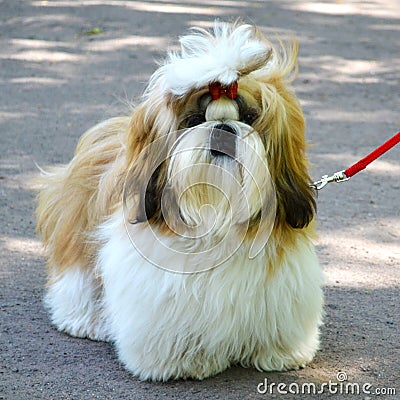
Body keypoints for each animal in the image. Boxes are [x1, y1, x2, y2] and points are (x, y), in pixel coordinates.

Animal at [36, 21, 324, 382]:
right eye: (195, 120)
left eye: (249, 116)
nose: (223, 128)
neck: (216, 213)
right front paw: (182, 361)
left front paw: (277, 352)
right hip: (78, 237)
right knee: (78, 278)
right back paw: (85, 319)